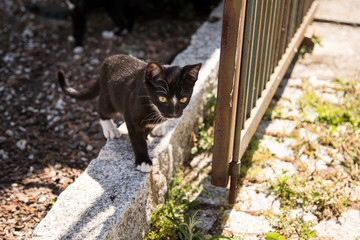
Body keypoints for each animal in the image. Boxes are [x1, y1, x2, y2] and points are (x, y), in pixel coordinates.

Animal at [57, 53, 201, 172]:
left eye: (183, 99)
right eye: (162, 98)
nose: (173, 113)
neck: (154, 107)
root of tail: (107, 61)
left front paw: (147, 137)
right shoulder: (131, 115)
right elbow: (137, 139)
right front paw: (143, 161)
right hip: (109, 97)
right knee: (103, 108)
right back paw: (110, 129)